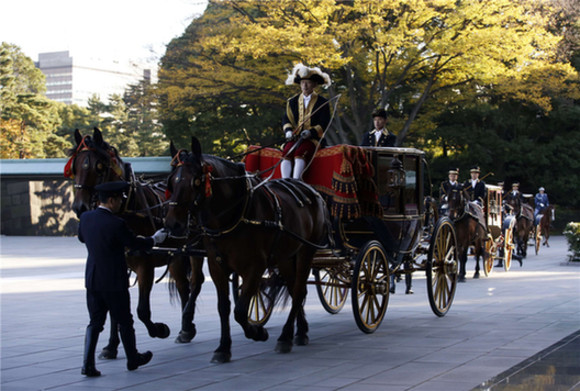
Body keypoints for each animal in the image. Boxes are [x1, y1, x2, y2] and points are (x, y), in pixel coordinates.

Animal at [67, 128, 196, 358]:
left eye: (98, 166)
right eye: (76, 166)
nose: (80, 207)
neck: (128, 208)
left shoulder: (145, 266)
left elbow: (141, 311)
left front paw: (159, 329)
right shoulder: (118, 265)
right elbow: (115, 311)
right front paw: (111, 346)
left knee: (195, 284)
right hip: (176, 256)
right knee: (183, 287)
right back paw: (185, 328)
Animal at [165, 138, 334, 364]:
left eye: (196, 182)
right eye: (172, 182)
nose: (172, 225)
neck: (235, 214)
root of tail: (313, 192)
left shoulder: (255, 266)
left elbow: (240, 310)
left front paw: (257, 332)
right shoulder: (217, 266)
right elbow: (224, 307)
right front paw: (223, 348)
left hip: (306, 251)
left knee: (298, 291)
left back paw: (285, 336)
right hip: (285, 257)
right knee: (295, 289)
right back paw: (299, 331)